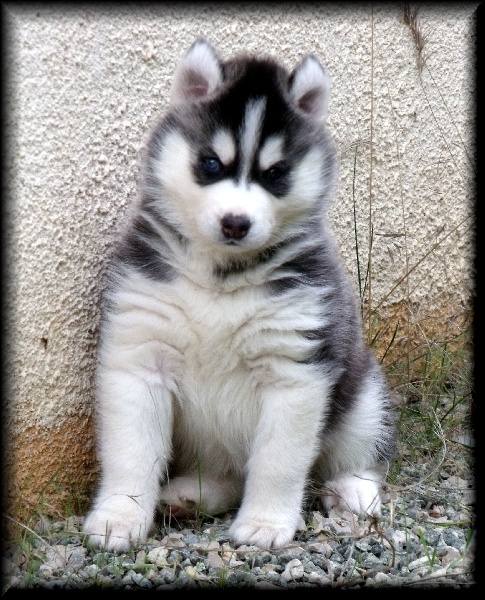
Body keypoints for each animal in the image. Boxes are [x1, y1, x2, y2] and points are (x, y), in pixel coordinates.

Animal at [83, 39, 395, 553]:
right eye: (211, 164)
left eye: (277, 174)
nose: (235, 223)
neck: (220, 279)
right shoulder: (140, 356)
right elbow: (132, 453)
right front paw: (119, 516)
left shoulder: (295, 373)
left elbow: (277, 460)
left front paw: (266, 523)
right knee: (230, 474)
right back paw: (192, 495)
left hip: (363, 395)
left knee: (363, 453)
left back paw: (352, 491)